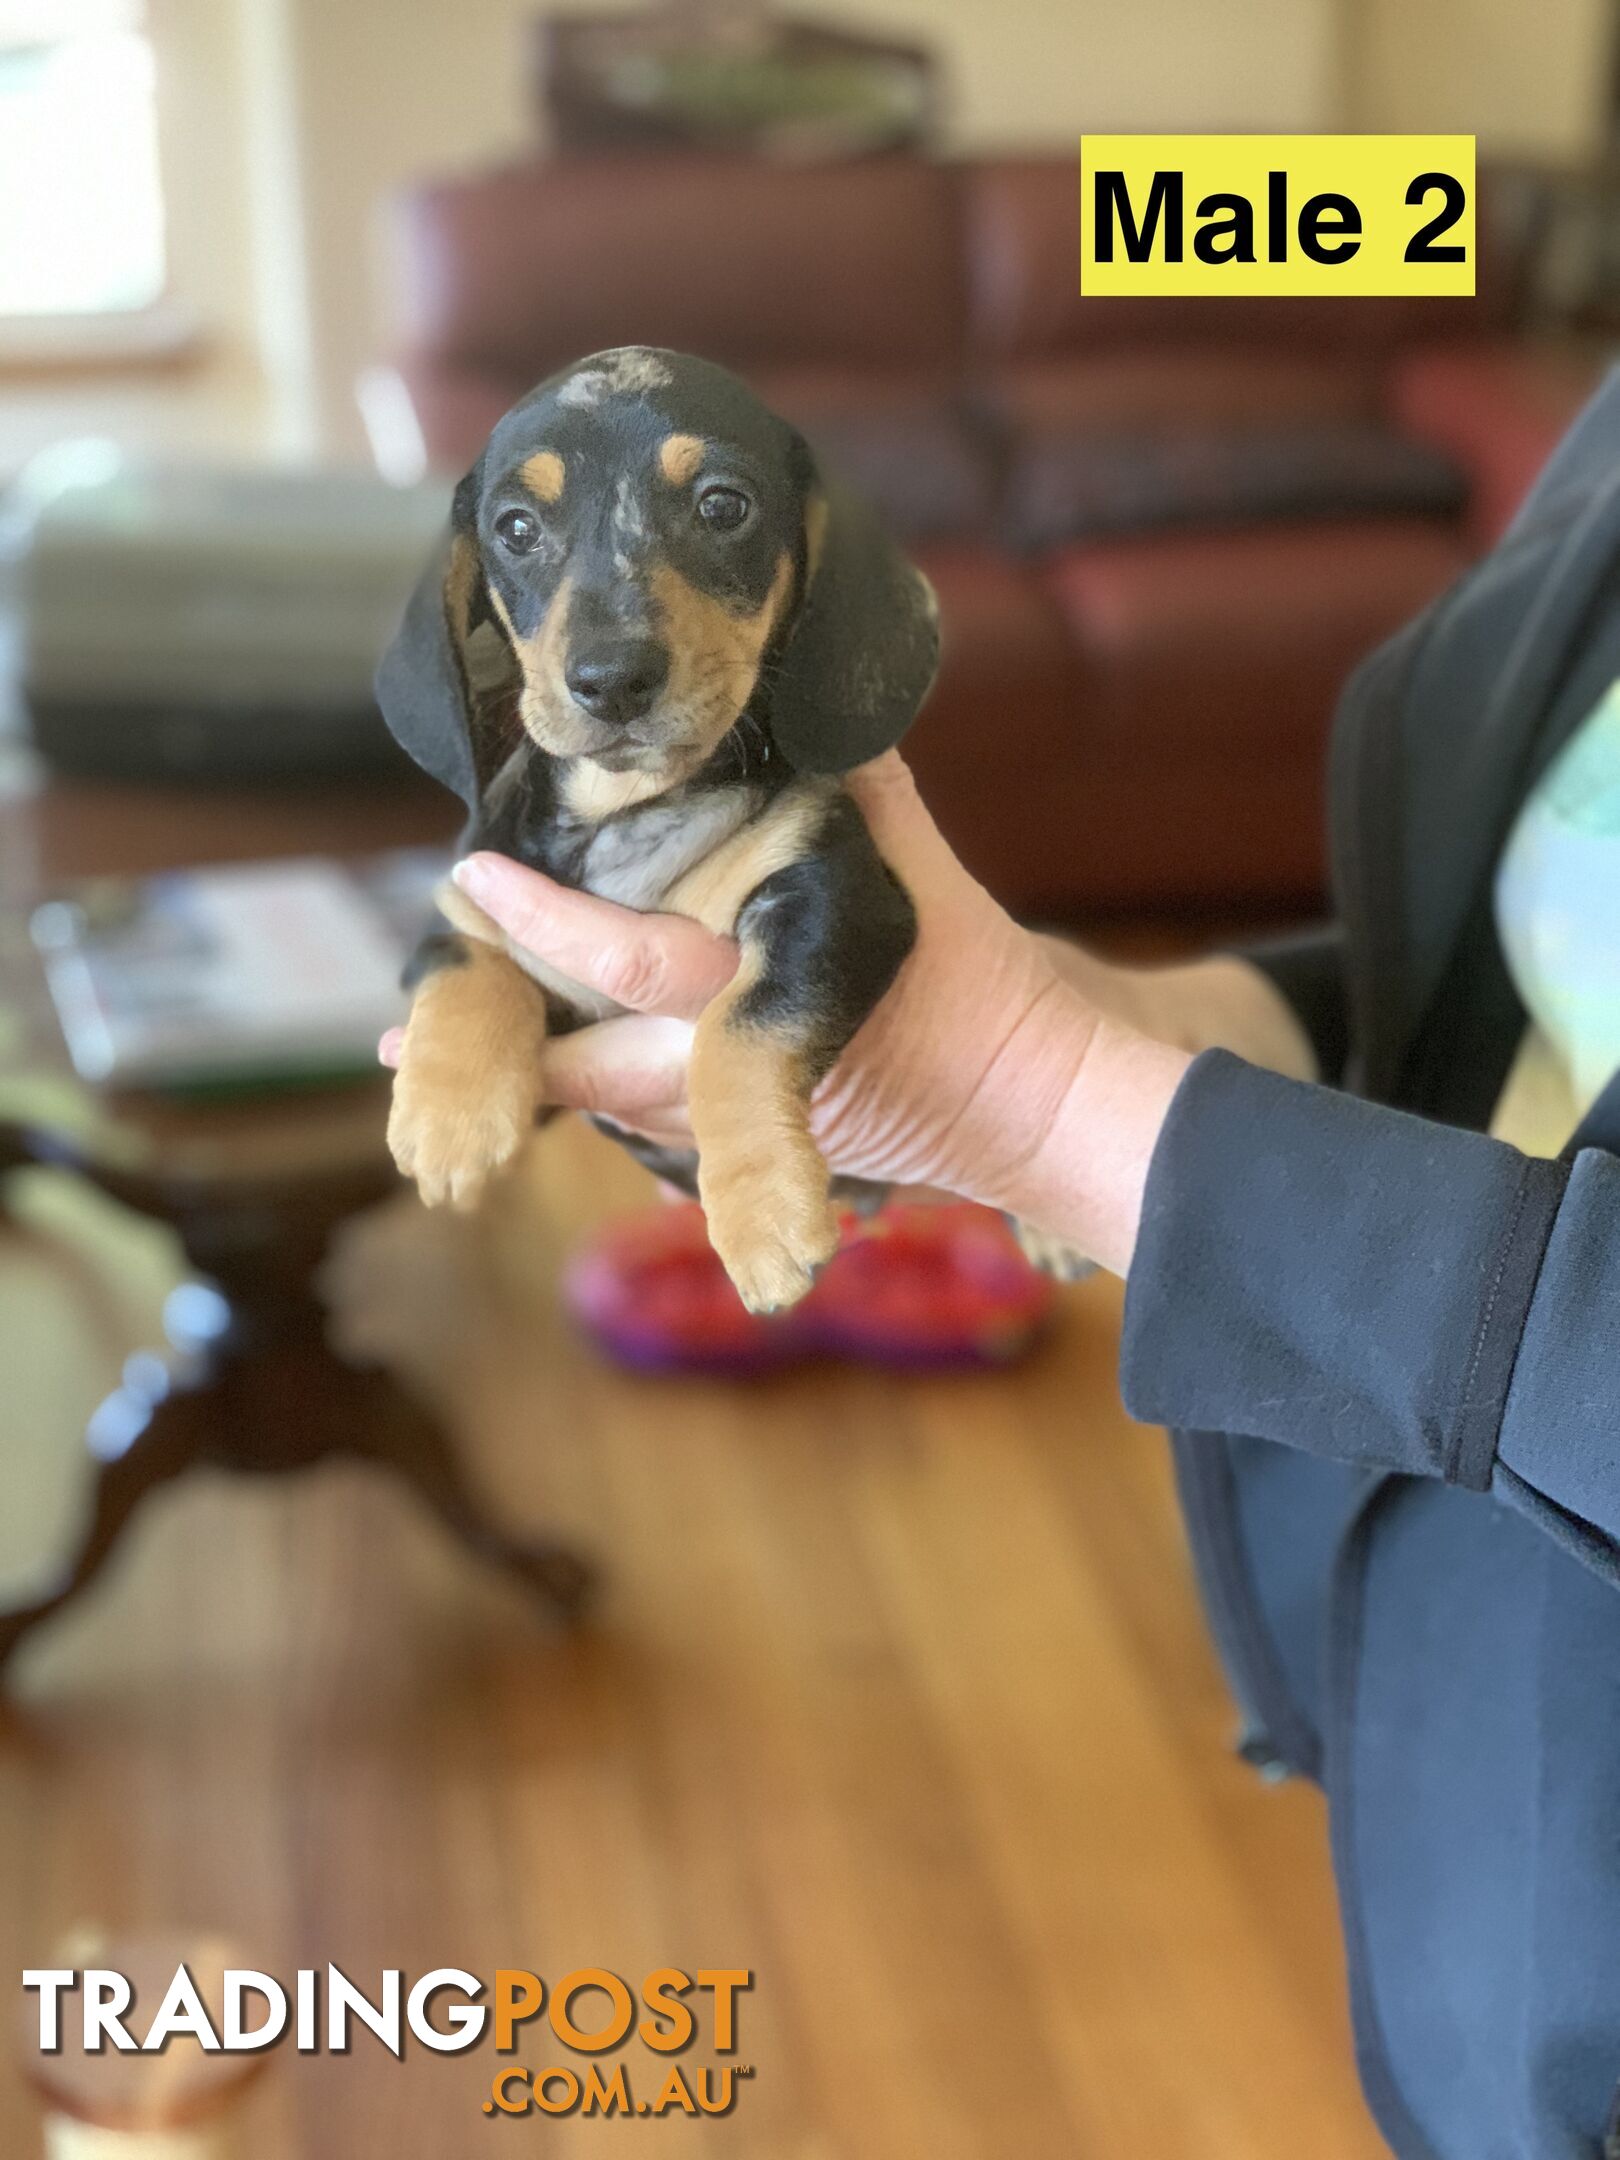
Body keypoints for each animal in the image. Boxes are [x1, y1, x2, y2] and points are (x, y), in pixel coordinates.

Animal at [380, 349, 933, 1313]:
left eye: (723, 506)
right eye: (516, 527)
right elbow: (466, 960)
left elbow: (736, 1031)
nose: (612, 679)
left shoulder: (838, 900)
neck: (625, 812)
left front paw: (763, 1216)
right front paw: (451, 1118)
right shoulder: (475, 896)